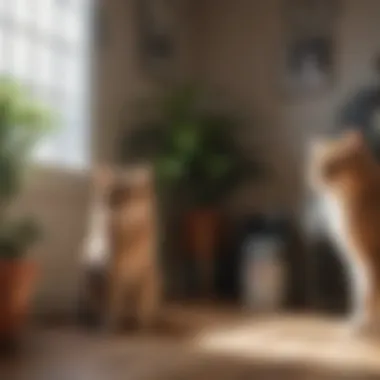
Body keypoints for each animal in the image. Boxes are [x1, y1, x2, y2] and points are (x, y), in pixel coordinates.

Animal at [310, 130, 380, 336]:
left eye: (335, 164)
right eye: (318, 165)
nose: (320, 177)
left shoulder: (371, 257)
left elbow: (369, 295)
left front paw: (364, 325)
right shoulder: (357, 261)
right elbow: (359, 292)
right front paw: (360, 322)